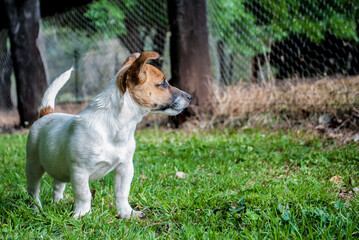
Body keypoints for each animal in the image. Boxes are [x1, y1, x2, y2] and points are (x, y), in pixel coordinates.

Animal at [25, 51, 191, 218]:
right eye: (163, 83)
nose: (190, 97)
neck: (118, 128)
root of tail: (46, 113)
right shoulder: (80, 171)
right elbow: (84, 195)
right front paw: (82, 215)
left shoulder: (125, 167)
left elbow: (122, 193)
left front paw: (127, 213)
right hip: (33, 167)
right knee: (33, 191)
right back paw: (36, 210)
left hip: (58, 167)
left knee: (58, 185)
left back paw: (57, 204)